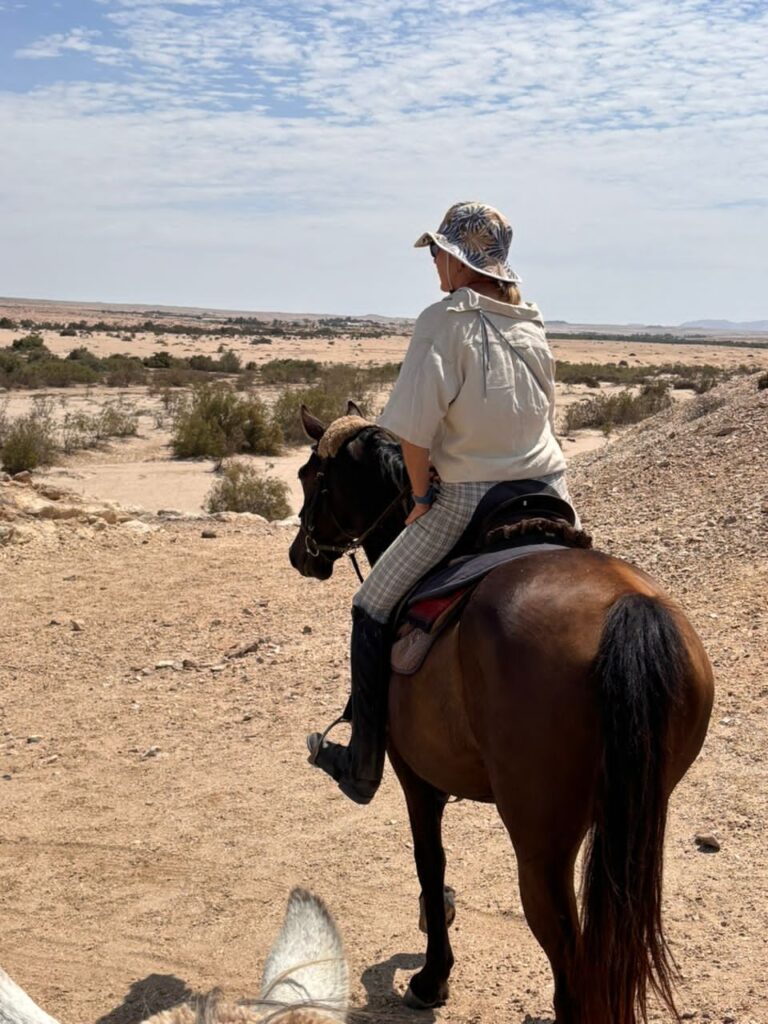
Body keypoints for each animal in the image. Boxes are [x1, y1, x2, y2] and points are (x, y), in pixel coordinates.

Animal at [288, 405, 714, 1024]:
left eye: (307, 477)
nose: (300, 553)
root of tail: (627, 610)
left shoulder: (415, 777)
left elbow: (430, 862)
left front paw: (432, 975)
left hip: (541, 845)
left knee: (571, 967)